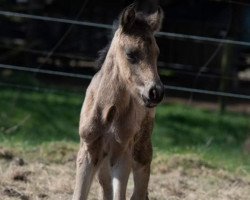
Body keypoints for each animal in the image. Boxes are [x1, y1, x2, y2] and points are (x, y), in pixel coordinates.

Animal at [72, 1, 165, 200]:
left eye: (157, 53)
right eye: (131, 54)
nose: (156, 92)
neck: (108, 110)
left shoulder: (123, 153)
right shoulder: (88, 150)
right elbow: (79, 194)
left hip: (141, 150)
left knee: (139, 191)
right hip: (104, 161)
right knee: (106, 188)